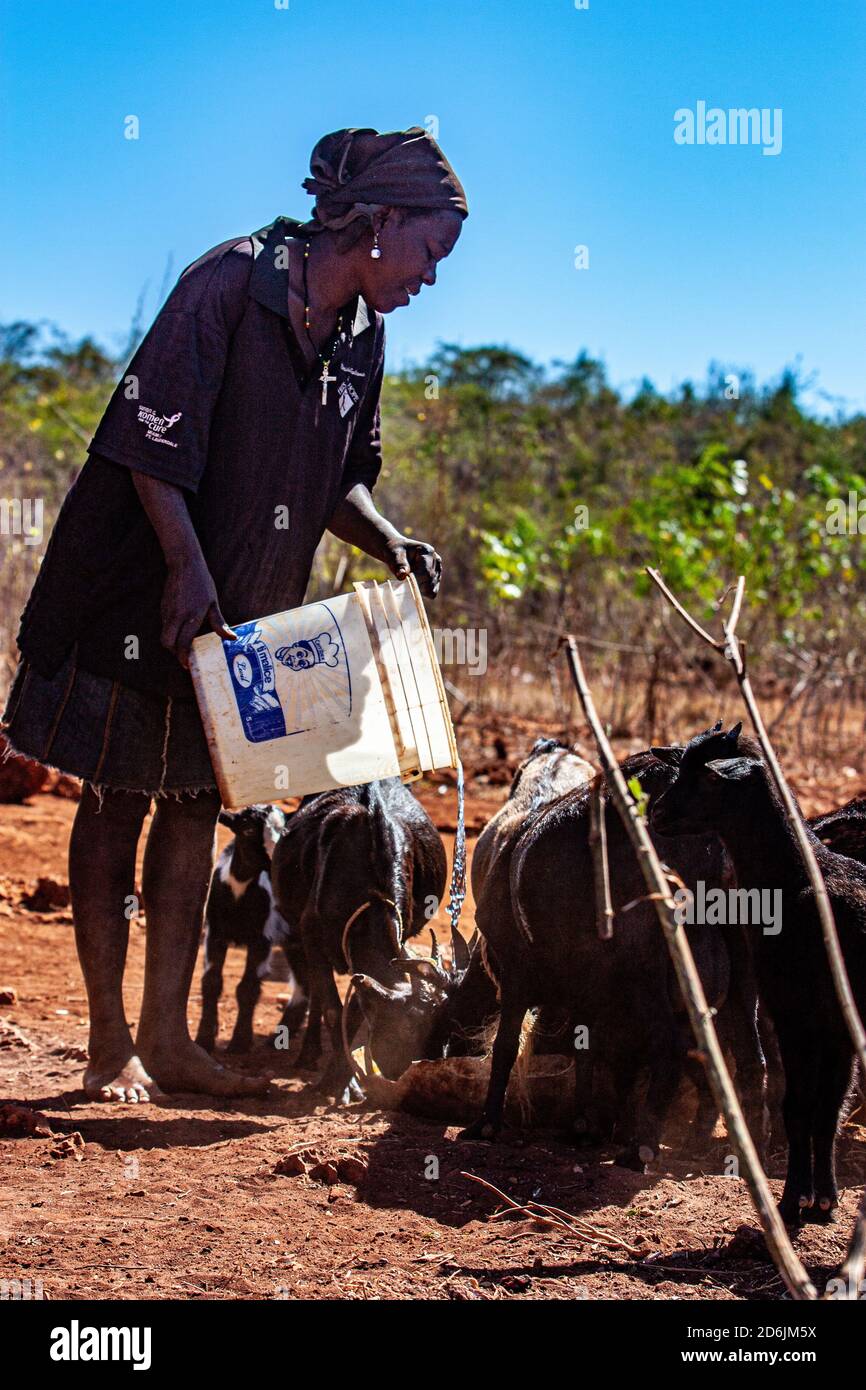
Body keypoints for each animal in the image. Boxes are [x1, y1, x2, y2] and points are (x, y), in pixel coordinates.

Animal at [653, 722, 866, 1223]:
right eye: (679, 765)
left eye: (708, 778)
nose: (657, 813)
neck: (800, 876)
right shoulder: (837, 1029)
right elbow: (826, 1110)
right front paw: (824, 1199)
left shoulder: (799, 1016)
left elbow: (802, 1107)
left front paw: (795, 1200)